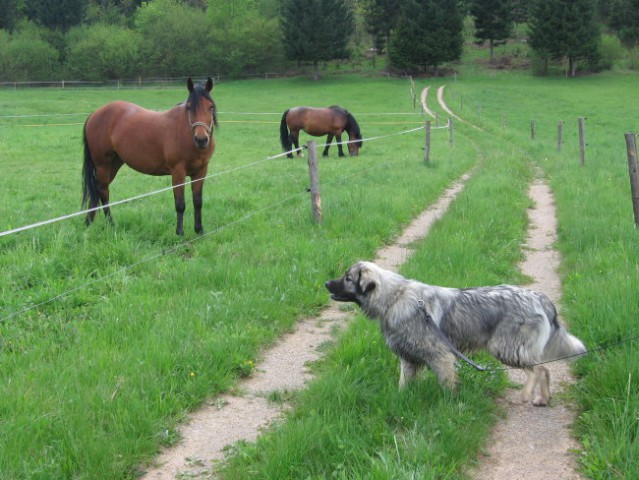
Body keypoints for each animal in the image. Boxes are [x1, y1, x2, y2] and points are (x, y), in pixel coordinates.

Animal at [82, 77, 218, 236]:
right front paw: (179, 233)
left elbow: (198, 201)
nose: (201, 139)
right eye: (190, 107)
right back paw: (111, 224)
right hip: (102, 164)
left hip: (114, 164)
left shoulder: (201, 171)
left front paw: (199, 230)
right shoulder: (178, 172)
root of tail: (95, 114)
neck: (185, 132)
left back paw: (89, 221)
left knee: (98, 190)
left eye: (211, 107)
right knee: (103, 192)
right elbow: (180, 203)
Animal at [328, 262, 588, 404]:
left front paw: (450, 405)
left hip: (505, 347)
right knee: (544, 370)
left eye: (347, 278)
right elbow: (404, 384)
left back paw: (527, 394)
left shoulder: (440, 356)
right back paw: (543, 399)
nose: (326, 284)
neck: (394, 298)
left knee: (539, 369)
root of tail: (539, 297)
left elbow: (447, 384)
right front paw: (400, 400)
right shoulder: (409, 360)